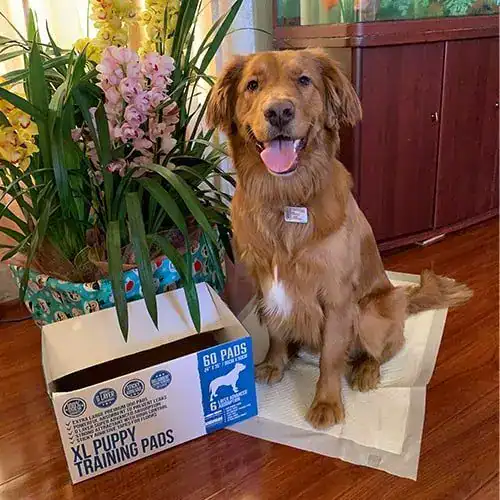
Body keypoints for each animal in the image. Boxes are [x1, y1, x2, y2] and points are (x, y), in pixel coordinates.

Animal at [206, 49, 472, 429]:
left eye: (304, 80)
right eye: (252, 85)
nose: (279, 111)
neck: (286, 198)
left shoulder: (336, 296)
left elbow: (331, 356)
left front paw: (327, 402)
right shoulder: (265, 282)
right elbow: (274, 328)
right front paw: (274, 362)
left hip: (372, 310)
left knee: (383, 349)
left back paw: (365, 370)